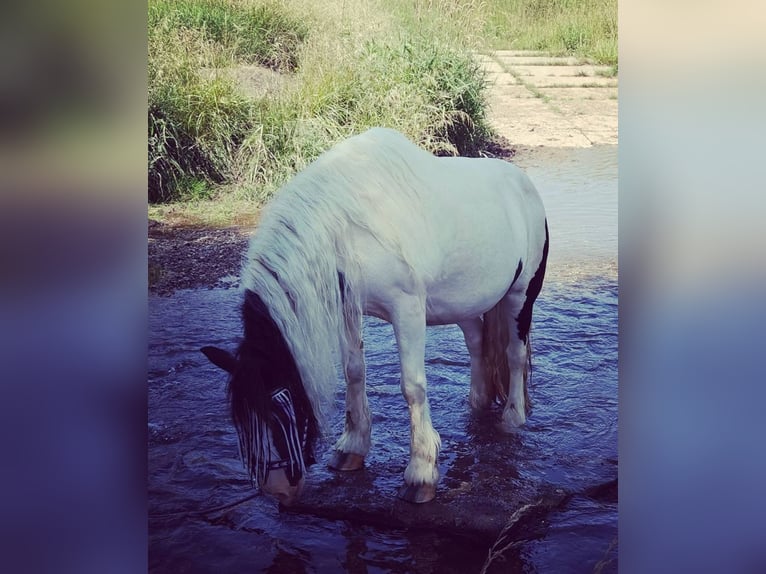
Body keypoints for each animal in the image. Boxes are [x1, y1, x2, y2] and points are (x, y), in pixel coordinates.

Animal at [202, 128, 552, 506]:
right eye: (242, 423)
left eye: (280, 412)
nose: (279, 488)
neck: (347, 226)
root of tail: (523, 185)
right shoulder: (347, 309)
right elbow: (354, 372)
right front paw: (351, 448)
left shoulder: (408, 310)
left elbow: (413, 387)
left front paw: (421, 473)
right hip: (467, 304)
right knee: (478, 346)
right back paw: (477, 404)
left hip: (520, 296)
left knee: (514, 355)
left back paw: (512, 418)